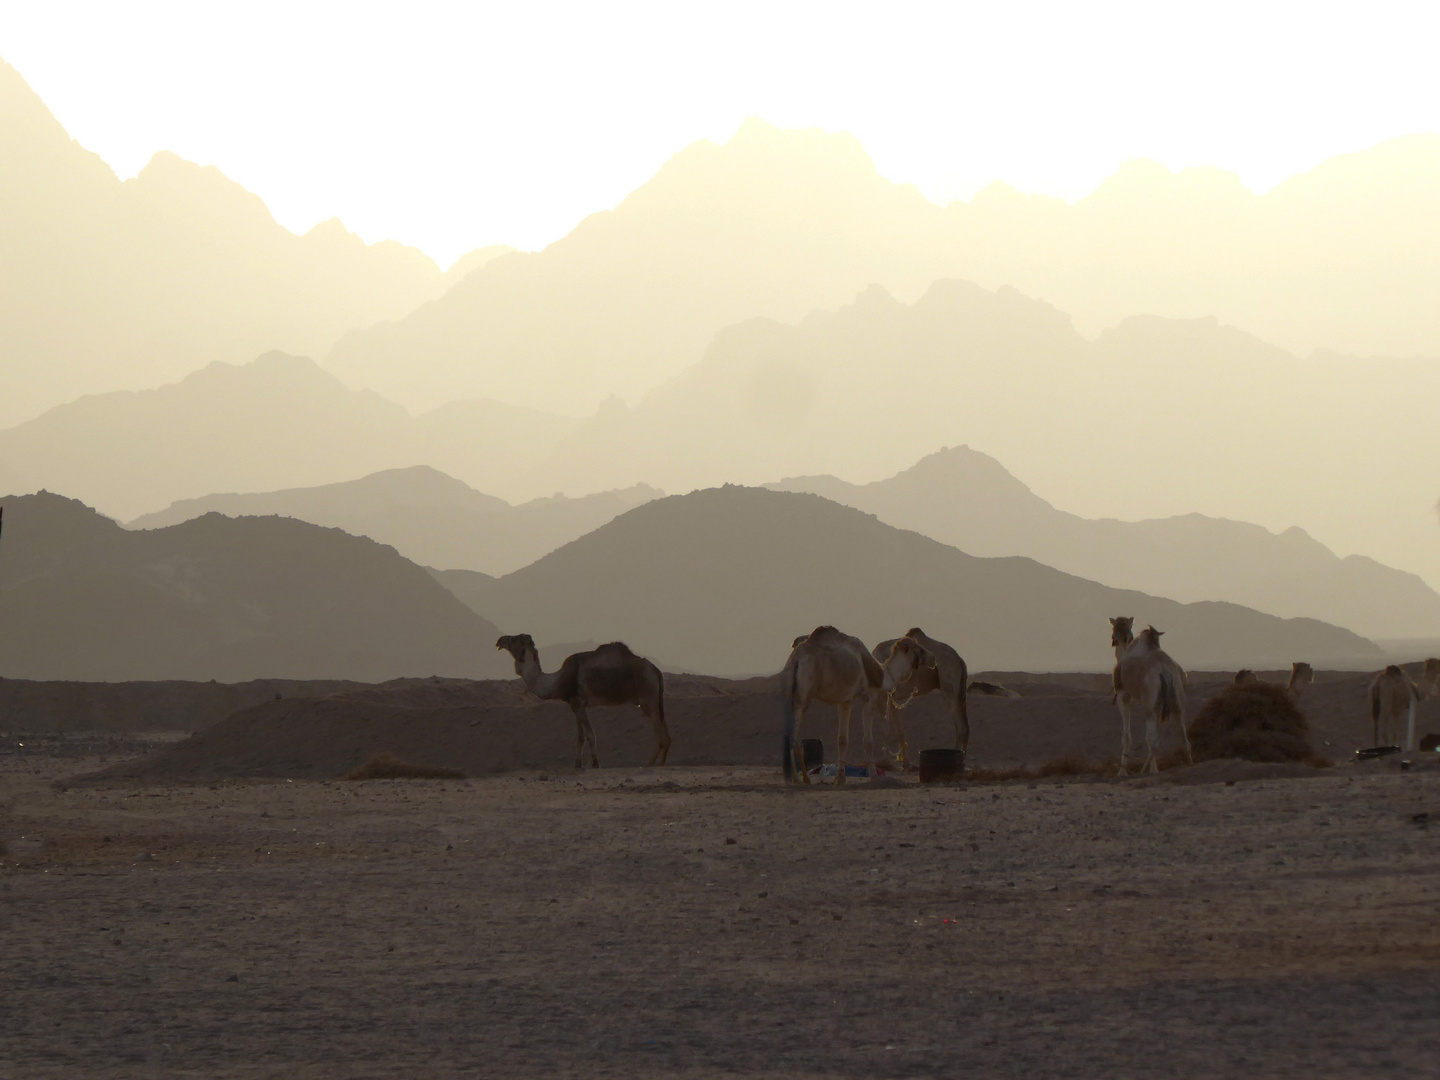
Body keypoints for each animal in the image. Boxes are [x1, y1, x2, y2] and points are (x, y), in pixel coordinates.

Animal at [495, 633, 668, 771]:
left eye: (514, 639)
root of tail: (655, 670)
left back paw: (651, 764)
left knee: (661, 736)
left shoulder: (578, 702)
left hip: (648, 697)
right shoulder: (575, 704)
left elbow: (590, 734)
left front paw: (596, 763)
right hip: (656, 699)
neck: (557, 681)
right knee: (665, 733)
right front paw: (577, 764)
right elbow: (580, 736)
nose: (499, 640)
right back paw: (660, 763)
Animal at [783, 624, 881, 789]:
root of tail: (796, 659)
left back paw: (799, 779)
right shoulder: (864, 695)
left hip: (794, 695)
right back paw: (800, 779)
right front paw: (871, 777)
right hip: (804, 691)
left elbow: (841, 739)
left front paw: (839, 779)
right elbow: (861, 740)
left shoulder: (843, 699)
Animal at [869, 633, 1019, 771]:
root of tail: (960, 660)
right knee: (965, 726)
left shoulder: (886, 698)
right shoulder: (890, 698)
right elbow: (895, 729)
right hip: (960, 692)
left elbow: (890, 730)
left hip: (949, 686)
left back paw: (957, 759)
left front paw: (887, 763)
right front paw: (902, 763)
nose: (932, 658)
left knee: (960, 726)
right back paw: (961, 759)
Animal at [1105, 622, 1186, 771]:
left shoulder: (1122, 694)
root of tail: (1165, 671)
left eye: (1113, 631)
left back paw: (1145, 770)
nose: (1114, 638)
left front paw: (1122, 772)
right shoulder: (1159, 701)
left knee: (1152, 739)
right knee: (1182, 734)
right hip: (1176, 699)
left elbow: (1126, 737)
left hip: (1150, 702)